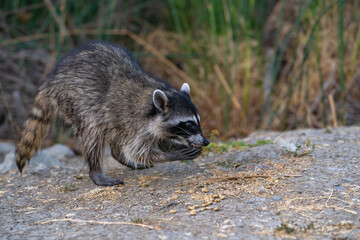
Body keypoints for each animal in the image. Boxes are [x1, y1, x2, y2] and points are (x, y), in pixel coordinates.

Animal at [15, 41, 210, 187]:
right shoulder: (135, 122)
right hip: (76, 103)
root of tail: (53, 79)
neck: (151, 105)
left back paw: (119, 157)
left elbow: (159, 141)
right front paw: (171, 155)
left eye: (198, 121)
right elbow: (137, 150)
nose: (206, 141)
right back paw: (96, 171)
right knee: (92, 135)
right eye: (188, 124)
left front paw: (175, 147)